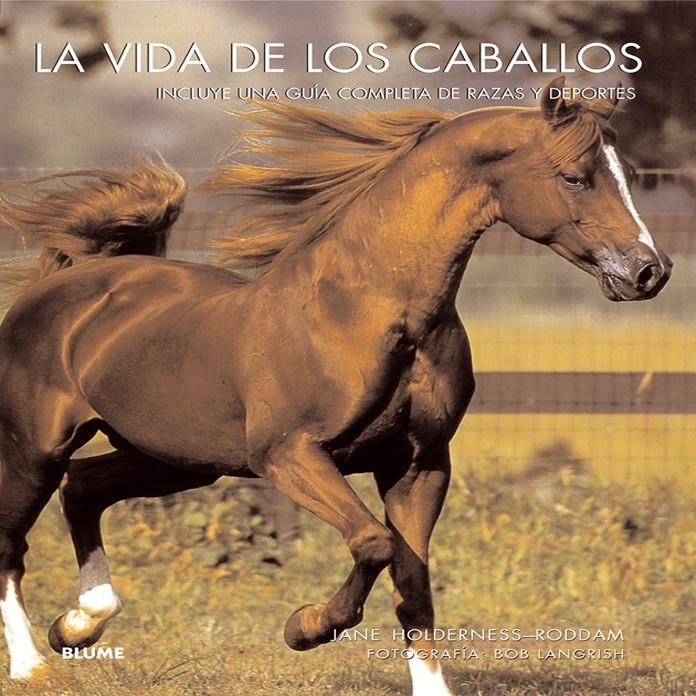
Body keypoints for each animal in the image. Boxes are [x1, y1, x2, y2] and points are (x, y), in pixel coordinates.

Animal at [0, 77, 671, 695]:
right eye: (575, 177)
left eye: (631, 174)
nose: (649, 272)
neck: (368, 313)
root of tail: (69, 280)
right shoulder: (290, 455)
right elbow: (375, 544)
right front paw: (305, 627)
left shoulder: (420, 465)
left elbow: (413, 580)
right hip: (36, 450)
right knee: (14, 540)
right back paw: (33, 664)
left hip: (175, 458)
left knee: (83, 488)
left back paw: (79, 625)